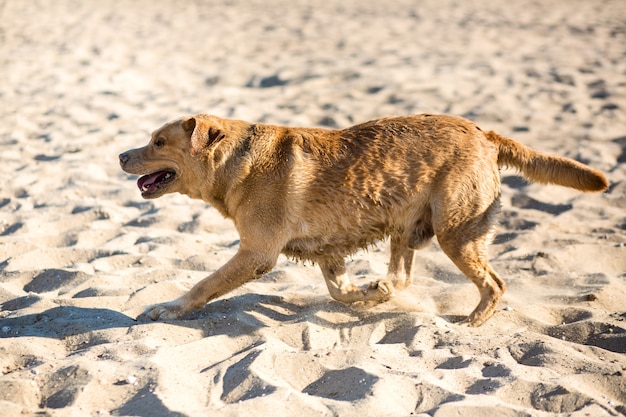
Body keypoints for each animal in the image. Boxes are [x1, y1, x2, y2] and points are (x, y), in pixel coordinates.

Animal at [119, 114, 608, 324]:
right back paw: (389, 289)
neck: (235, 160)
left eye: (158, 142)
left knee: (495, 284)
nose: (121, 155)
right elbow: (339, 290)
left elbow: (204, 285)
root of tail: (484, 133)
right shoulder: (326, 251)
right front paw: (371, 294)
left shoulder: (256, 253)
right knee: (405, 274)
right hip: (408, 224)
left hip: (456, 233)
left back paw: (473, 322)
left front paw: (169, 308)